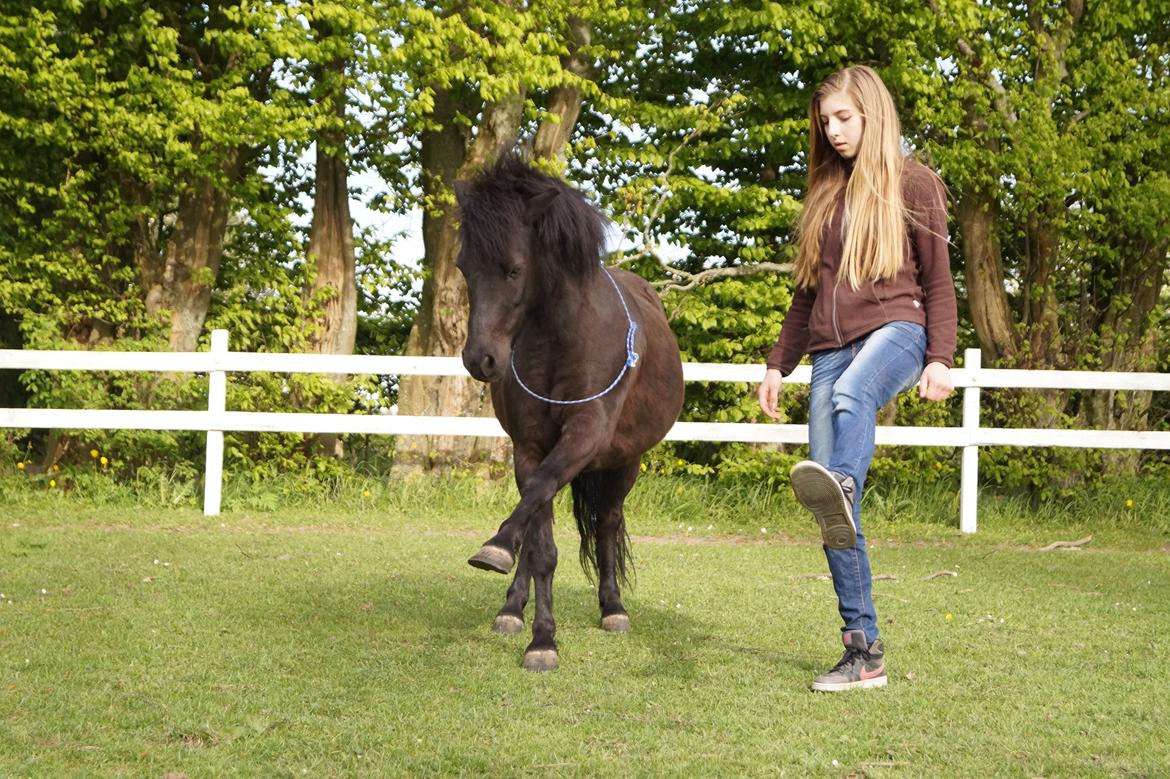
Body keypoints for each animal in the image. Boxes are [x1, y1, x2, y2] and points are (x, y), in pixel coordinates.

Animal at [451, 156, 683, 669]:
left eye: (514, 270)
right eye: (464, 267)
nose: (480, 359)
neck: (562, 338)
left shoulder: (585, 435)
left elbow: (556, 523)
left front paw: (498, 550)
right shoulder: (531, 447)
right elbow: (540, 545)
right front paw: (540, 636)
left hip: (624, 462)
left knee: (607, 525)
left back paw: (613, 607)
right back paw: (511, 609)